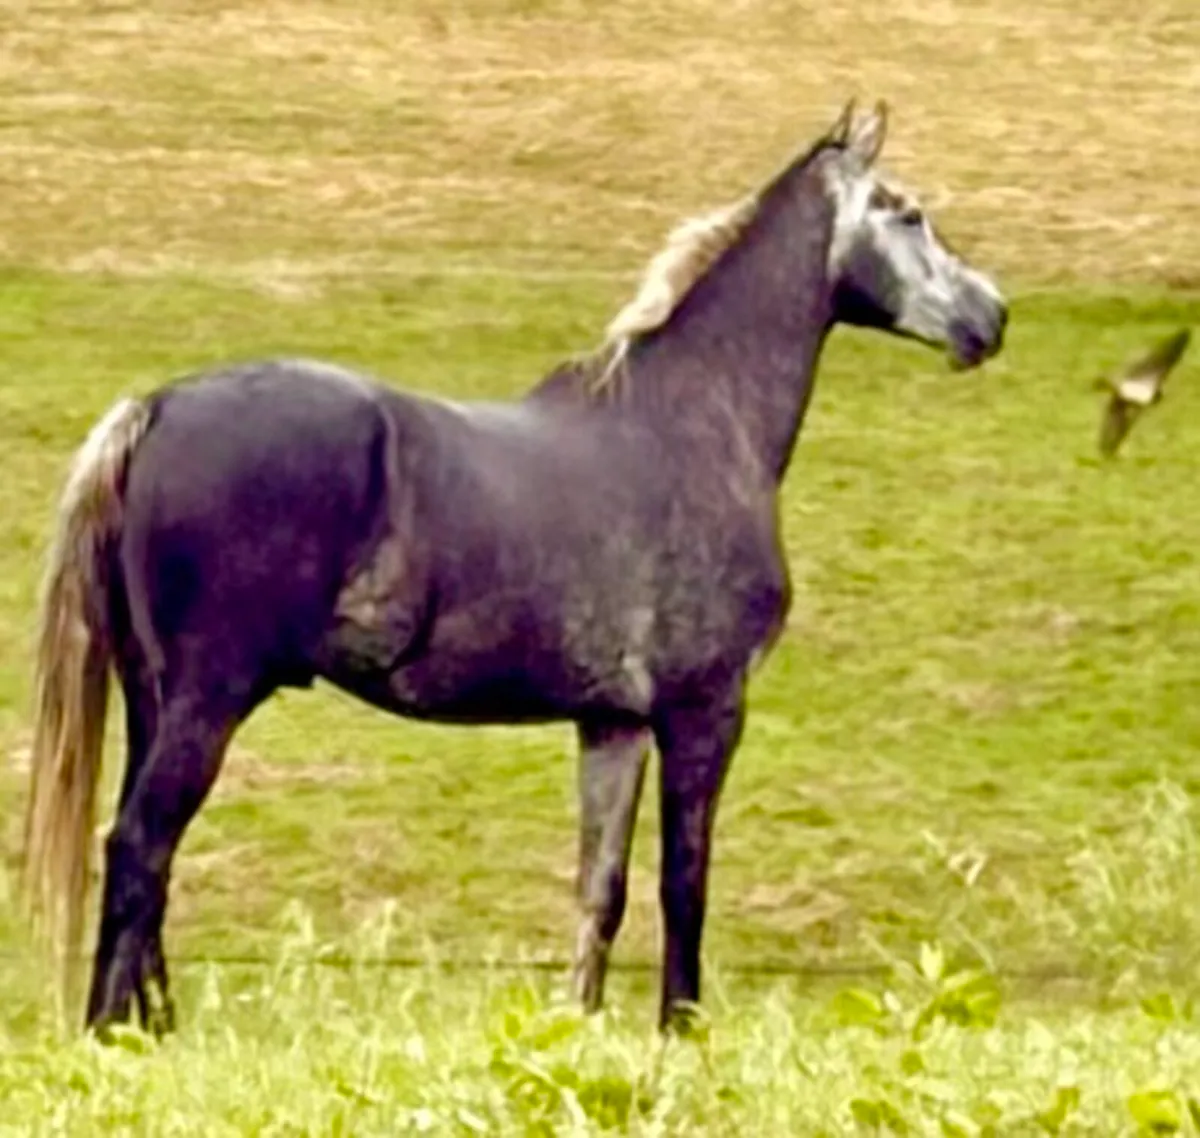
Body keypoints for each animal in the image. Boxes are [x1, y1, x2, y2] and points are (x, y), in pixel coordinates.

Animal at [21, 99, 1007, 1039]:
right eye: (908, 213)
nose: (991, 316)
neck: (690, 424)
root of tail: (155, 408)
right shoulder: (705, 715)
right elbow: (683, 886)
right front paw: (681, 1034)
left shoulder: (613, 725)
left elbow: (599, 892)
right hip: (208, 701)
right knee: (139, 848)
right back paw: (111, 1034)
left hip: (155, 700)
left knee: (141, 861)